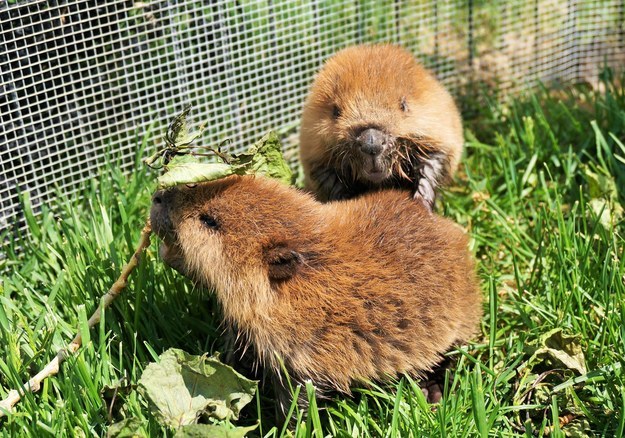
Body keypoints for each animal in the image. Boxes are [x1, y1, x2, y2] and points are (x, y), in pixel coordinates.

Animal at [300, 44, 460, 209]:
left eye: (403, 105)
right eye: (336, 111)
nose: (371, 144)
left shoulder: (437, 129)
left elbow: (433, 161)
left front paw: (422, 200)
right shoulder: (314, 149)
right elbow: (325, 173)